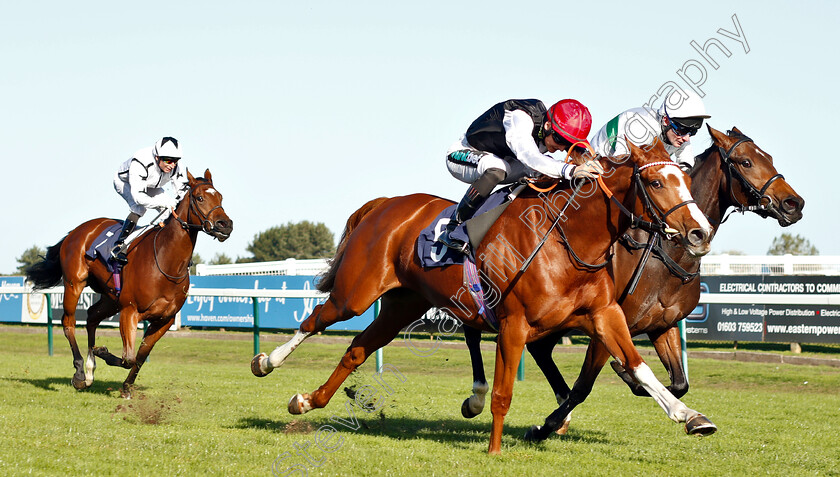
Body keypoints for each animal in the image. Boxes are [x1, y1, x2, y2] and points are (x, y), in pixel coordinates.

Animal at [25, 169, 231, 396]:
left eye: (221, 197)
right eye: (200, 198)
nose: (225, 225)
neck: (166, 262)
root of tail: (76, 231)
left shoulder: (164, 319)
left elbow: (140, 356)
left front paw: (125, 386)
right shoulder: (130, 310)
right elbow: (129, 357)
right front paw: (103, 352)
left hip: (110, 297)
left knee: (91, 316)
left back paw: (90, 370)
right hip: (75, 283)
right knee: (68, 322)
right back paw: (80, 373)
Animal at [253, 139, 712, 452]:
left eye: (686, 179)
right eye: (655, 181)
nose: (699, 232)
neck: (570, 240)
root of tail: (382, 204)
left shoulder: (605, 315)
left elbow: (638, 367)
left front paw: (691, 416)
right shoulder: (513, 324)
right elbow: (503, 393)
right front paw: (494, 450)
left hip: (402, 304)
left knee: (357, 349)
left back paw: (307, 401)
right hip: (356, 293)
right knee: (316, 319)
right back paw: (266, 362)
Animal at [460, 125, 808, 438]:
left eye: (769, 158)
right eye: (746, 162)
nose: (794, 204)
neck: (664, 253)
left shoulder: (662, 324)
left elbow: (679, 382)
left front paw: (692, 416)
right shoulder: (608, 322)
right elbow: (585, 386)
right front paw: (545, 425)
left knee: (536, 348)